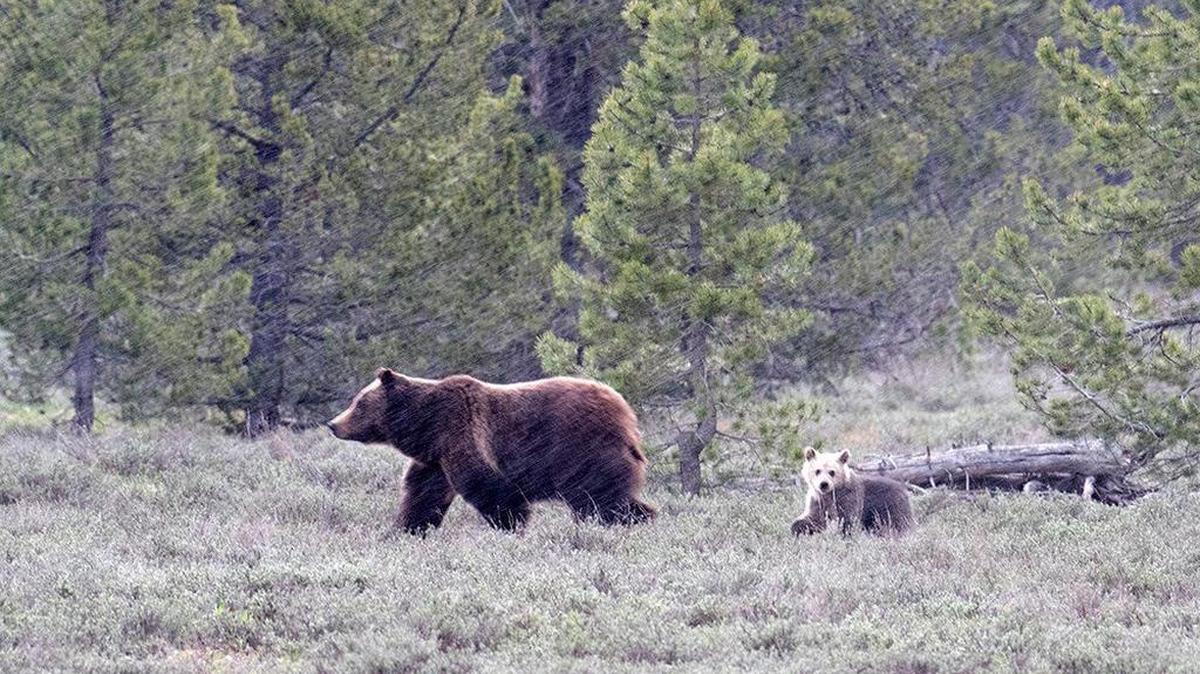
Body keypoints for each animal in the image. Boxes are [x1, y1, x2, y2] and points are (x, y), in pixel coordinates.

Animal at [327, 368, 657, 534]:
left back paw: (626, 521)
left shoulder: (462, 429)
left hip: (582, 449)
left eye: (358, 402)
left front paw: (511, 524)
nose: (333, 424)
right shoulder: (435, 458)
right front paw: (408, 526)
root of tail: (625, 412)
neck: (427, 424)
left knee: (600, 497)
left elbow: (488, 485)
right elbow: (423, 492)